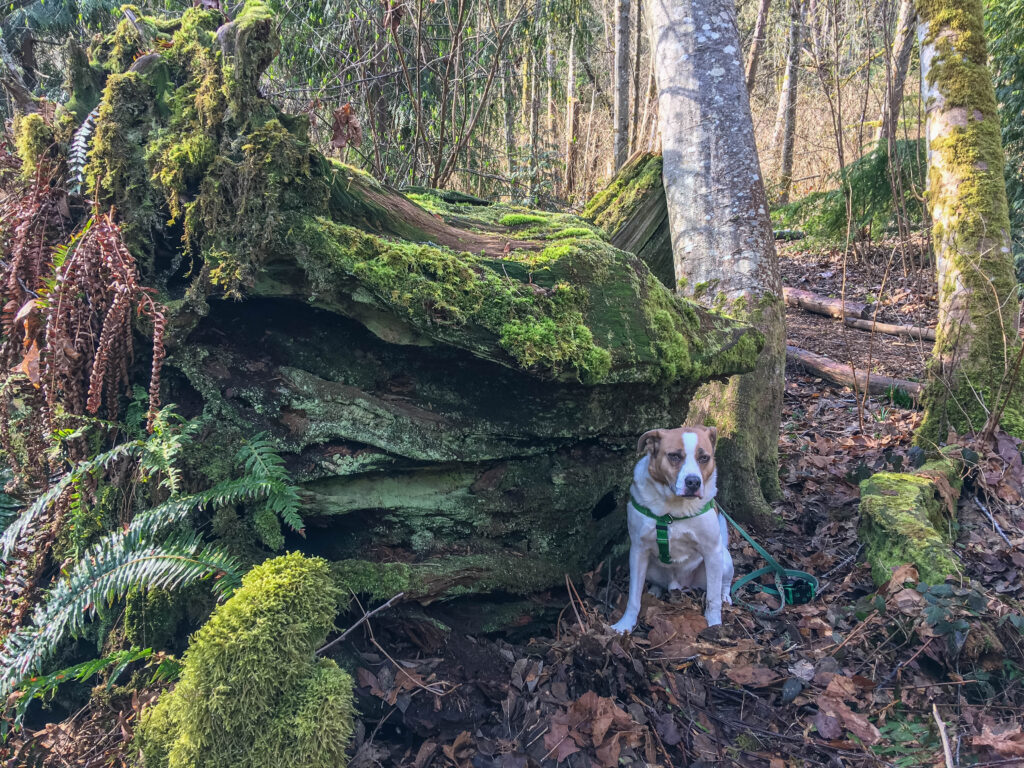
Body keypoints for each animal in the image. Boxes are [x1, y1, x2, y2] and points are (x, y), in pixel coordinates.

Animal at [610, 423, 733, 634]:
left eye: (704, 458)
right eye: (674, 456)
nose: (693, 482)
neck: (673, 510)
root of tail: (679, 585)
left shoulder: (712, 551)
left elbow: (712, 598)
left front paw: (715, 624)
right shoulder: (638, 551)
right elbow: (633, 596)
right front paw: (625, 623)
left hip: (723, 560)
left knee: (723, 584)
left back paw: (725, 595)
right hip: (650, 567)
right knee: (657, 583)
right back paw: (655, 590)